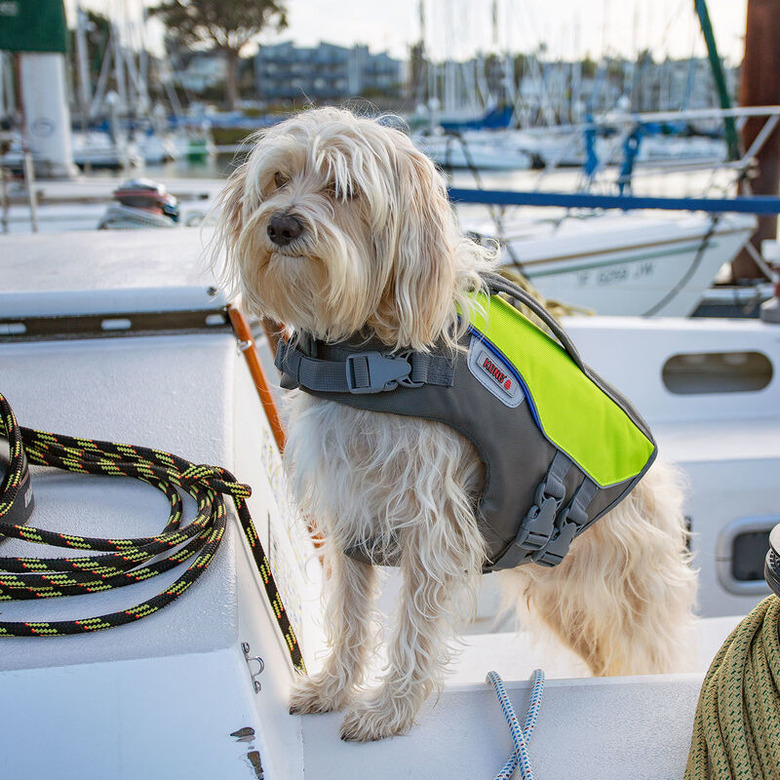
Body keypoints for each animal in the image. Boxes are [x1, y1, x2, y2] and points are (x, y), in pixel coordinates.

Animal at [212, 106, 696, 740]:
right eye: (276, 180)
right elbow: (349, 612)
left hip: (627, 599)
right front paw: (335, 687)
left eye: (345, 189)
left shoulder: (433, 523)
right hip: (568, 603)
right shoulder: (348, 514)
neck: (365, 353)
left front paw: (392, 708)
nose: (282, 225)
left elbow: (414, 624)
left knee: (650, 654)